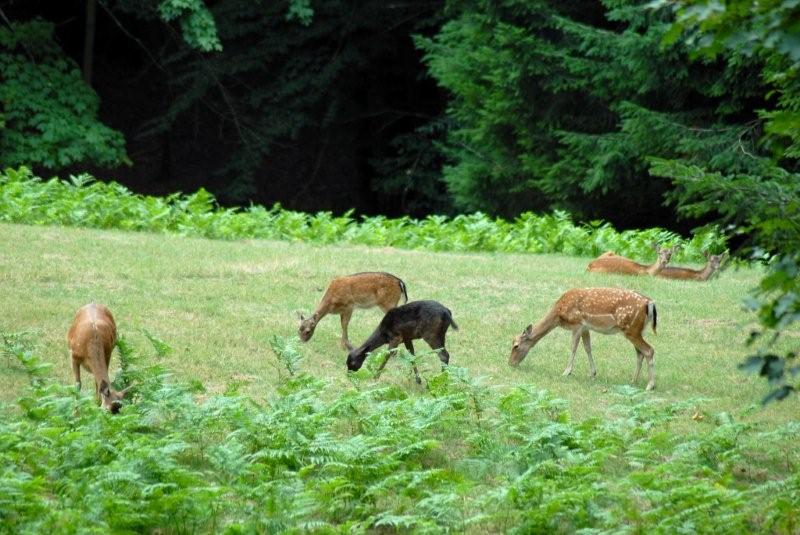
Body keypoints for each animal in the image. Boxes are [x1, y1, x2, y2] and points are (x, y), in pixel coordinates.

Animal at [510, 286, 660, 392]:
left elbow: (573, 348)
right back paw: (633, 381)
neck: (559, 314)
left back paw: (650, 385)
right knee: (640, 353)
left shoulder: (577, 323)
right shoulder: (585, 328)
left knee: (649, 350)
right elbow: (588, 348)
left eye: (516, 345)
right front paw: (593, 373)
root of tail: (650, 303)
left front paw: (566, 372)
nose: (510, 363)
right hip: (637, 330)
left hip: (631, 329)